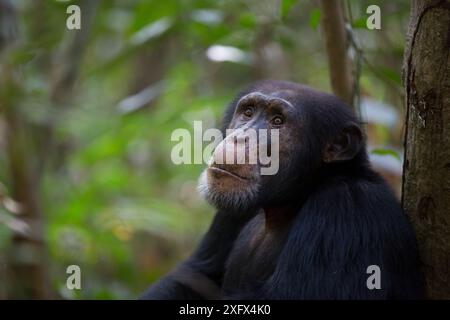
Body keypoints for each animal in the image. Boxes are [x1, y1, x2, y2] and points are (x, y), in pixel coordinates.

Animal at [142, 80, 424, 300]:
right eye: (248, 112)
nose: (240, 138)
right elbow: (196, 277)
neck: (287, 203)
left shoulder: (347, 205)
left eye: (277, 121)